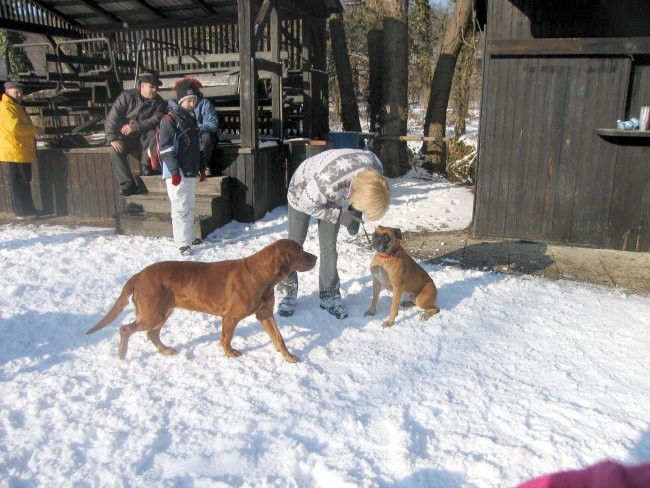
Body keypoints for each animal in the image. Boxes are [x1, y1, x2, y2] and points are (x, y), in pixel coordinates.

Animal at [86, 240, 316, 362]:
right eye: (300, 252)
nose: (315, 257)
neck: (262, 276)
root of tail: (138, 275)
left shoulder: (265, 313)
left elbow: (279, 337)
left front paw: (289, 357)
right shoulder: (231, 317)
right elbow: (226, 338)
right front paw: (229, 353)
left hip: (163, 311)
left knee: (152, 333)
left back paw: (165, 350)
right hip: (152, 312)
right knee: (125, 329)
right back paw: (122, 354)